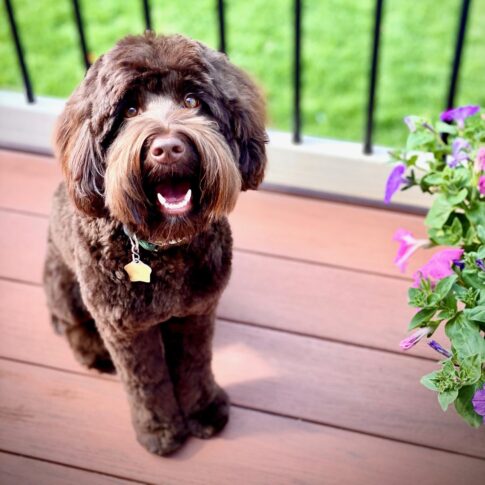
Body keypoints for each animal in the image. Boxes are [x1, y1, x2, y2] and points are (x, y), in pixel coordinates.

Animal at [43, 32, 267, 456]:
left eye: (192, 101)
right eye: (129, 110)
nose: (167, 148)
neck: (163, 247)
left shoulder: (197, 311)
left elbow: (194, 364)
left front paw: (203, 410)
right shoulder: (123, 328)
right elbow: (146, 381)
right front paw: (160, 430)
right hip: (62, 285)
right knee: (68, 322)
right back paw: (91, 350)